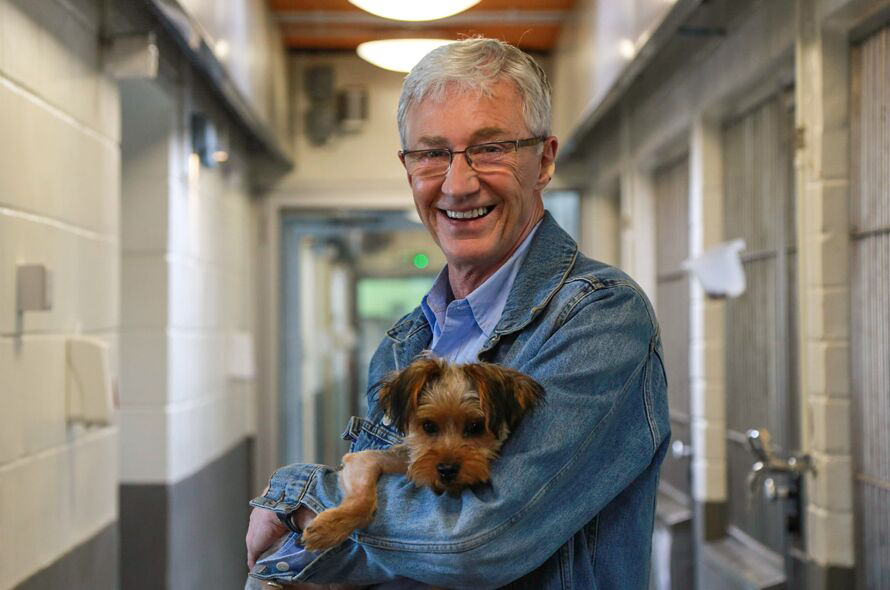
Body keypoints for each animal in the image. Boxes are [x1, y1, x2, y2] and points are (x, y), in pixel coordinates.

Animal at [298, 356, 540, 556]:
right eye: (428, 426)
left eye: (475, 427)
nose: (447, 470)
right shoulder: (363, 461)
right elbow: (362, 499)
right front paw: (329, 528)